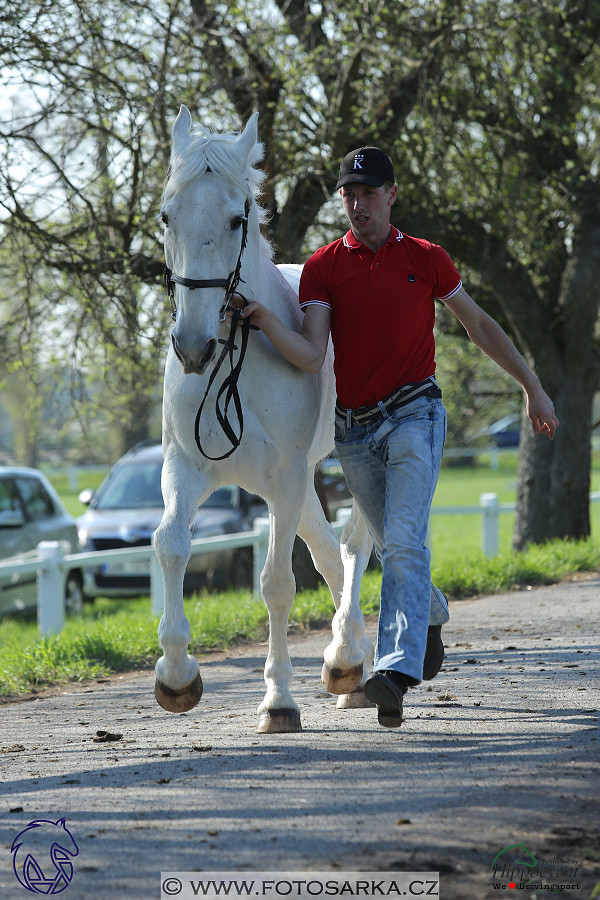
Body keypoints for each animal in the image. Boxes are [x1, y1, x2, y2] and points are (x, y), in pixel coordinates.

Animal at [152, 105, 372, 736]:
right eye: (167, 216)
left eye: (234, 220)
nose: (192, 346)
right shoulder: (184, 467)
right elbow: (170, 544)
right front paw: (176, 675)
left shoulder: (288, 478)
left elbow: (276, 582)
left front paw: (278, 701)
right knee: (330, 553)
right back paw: (351, 667)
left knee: (354, 547)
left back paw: (347, 658)